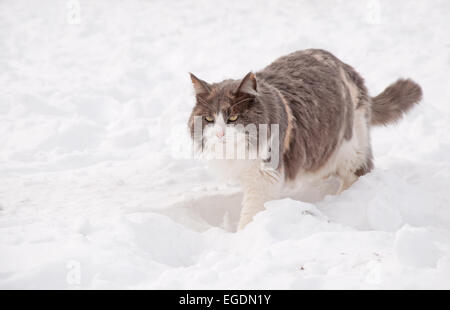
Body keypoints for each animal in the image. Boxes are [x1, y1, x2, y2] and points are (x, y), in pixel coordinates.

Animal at [188, 48, 424, 230]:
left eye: (233, 118)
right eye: (209, 119)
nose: (219, 134)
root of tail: (345, 66)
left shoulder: (264, 176)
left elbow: (251, 213)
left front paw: (245, 236)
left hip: (351, 146)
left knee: (358, 171)